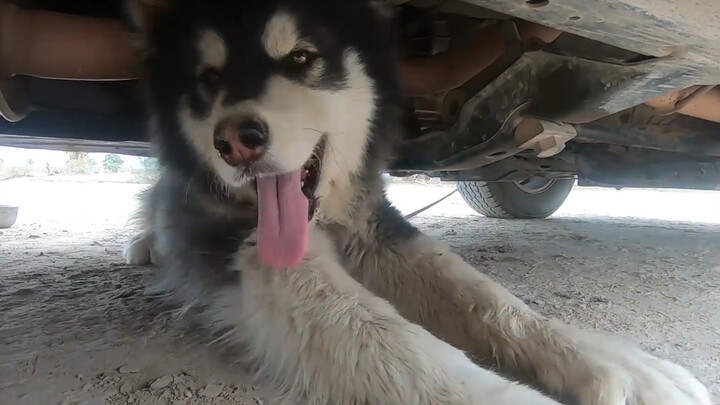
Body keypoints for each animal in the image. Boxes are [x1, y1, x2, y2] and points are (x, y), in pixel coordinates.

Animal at [122, 1, 708, 402]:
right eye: (208, 78)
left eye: (302, 57)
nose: (235, 140)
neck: (324, 217)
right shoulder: (245, 248)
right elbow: (397, 341)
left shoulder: (376, 231)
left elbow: (492, 299)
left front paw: (626, 367)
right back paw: (148, 242)